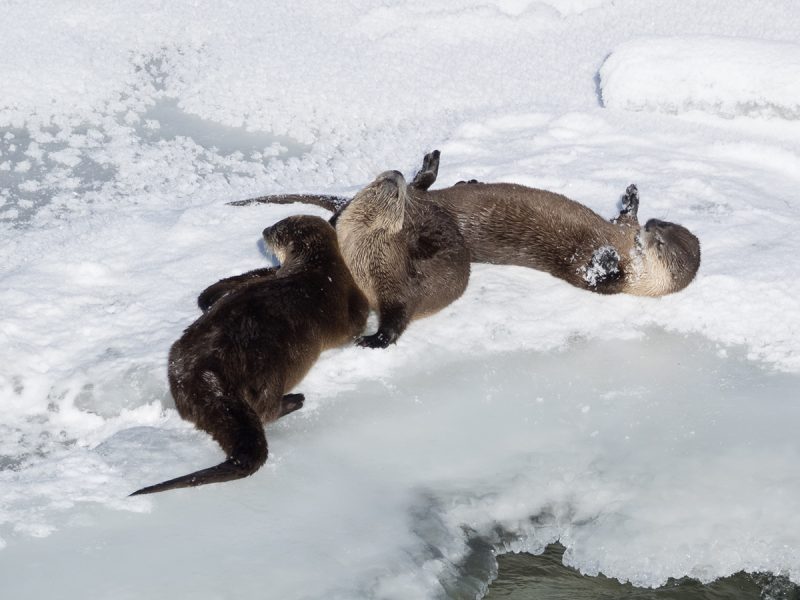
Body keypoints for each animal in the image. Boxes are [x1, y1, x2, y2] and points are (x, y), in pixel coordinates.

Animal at [130, 215, 369, 495]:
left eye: (277, 228)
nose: (264, 230)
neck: (318, 267)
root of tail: (205, 377)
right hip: (271, 371)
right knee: (265, 412)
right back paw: (295, 400)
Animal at [232, 150, 700, 296]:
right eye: (661, 224)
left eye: (659, 242)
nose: (651, 223)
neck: (630, 257)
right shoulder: (621, 228)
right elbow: (622, 215)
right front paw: (633, 194)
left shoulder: (612, 280)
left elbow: (593, 272)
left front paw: (603, 260)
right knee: (411, 185)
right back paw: (437, 166)